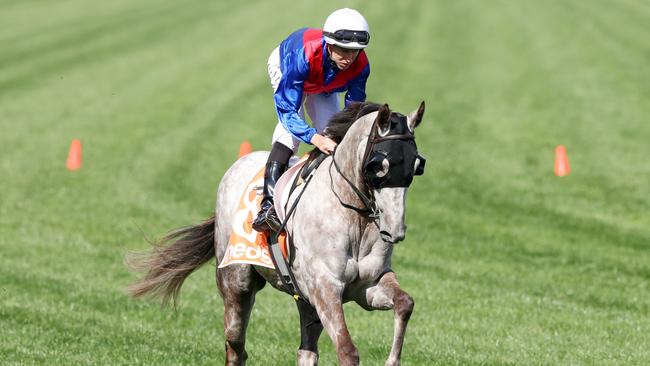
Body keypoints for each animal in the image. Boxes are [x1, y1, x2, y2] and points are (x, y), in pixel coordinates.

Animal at [129, 101, 428, 366]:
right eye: (380, 166)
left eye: (416, 167)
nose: (395, 230)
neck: (353, 218)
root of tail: (240, 162)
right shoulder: (325, 288)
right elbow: (347, 351)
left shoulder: (367, 285)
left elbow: (406, 303)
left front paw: (392, 360)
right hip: (236, 284)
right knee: (235, 347)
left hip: (304, 300)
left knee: (306, 350)